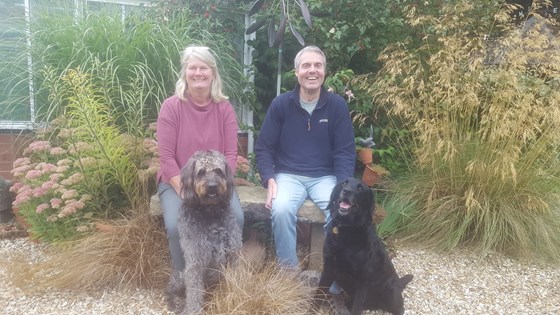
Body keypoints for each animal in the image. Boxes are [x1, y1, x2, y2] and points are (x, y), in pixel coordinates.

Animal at [166, 149, 245, 314]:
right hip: (181, 275)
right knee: (172, 290)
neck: (210, 212)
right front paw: (193, 310)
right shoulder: (195, 262)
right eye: (201, 172)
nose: (212, 186)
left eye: (218, 171)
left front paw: (235, 299)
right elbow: (194, 293)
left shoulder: (233, 255)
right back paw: (176, 303)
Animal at [316, 178, 416, 315]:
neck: (348, 229)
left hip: (391, 289)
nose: (346, 191)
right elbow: (317, 295)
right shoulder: (328, 268)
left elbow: (356, 309)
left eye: (360, 188)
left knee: (400, 309)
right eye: (344, 183)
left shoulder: (363, 282)